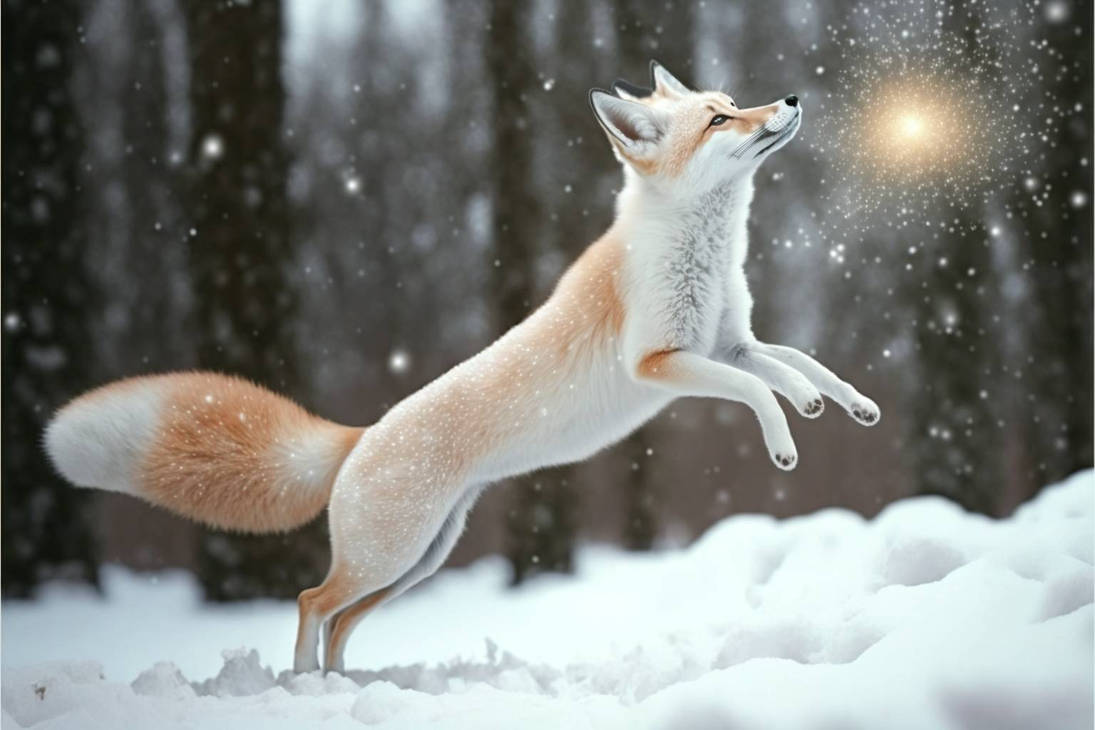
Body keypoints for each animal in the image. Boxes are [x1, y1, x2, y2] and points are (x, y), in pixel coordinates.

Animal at [45, 61, 879, 674]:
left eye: (732, 103)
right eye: (717, 120)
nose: (790, 99)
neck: (698, 256)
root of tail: (359, 437)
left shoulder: (725, 341)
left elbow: (796, 365)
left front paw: (847, 406)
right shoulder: (661, 362)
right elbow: (756, 392)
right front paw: (784, 442)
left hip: (418, 563)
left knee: (340, 619)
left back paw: (338, 686)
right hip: (391, 558)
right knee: (311, 600)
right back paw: (304, 685)